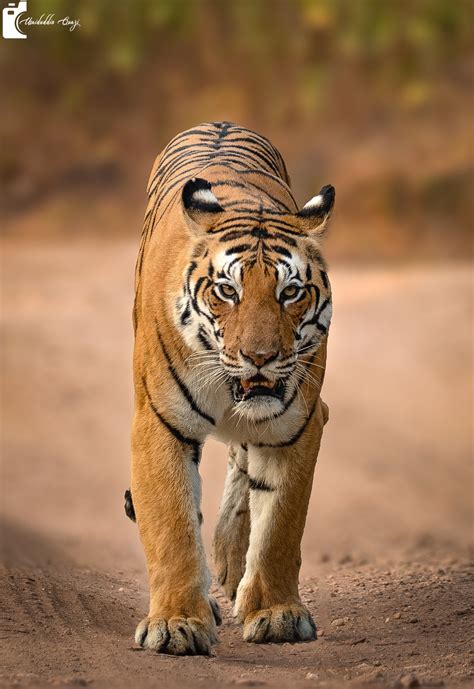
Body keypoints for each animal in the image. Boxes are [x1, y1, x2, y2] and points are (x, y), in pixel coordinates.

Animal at [129, 121, 334, 655]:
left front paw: (276, 614)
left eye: (290, 292)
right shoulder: (159, 424)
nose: (258, 357)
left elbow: (281, 524)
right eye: (227, 291)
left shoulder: (297, 426)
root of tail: (218, 121)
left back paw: (229, 563)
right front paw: (176, 624)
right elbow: (172, 526)